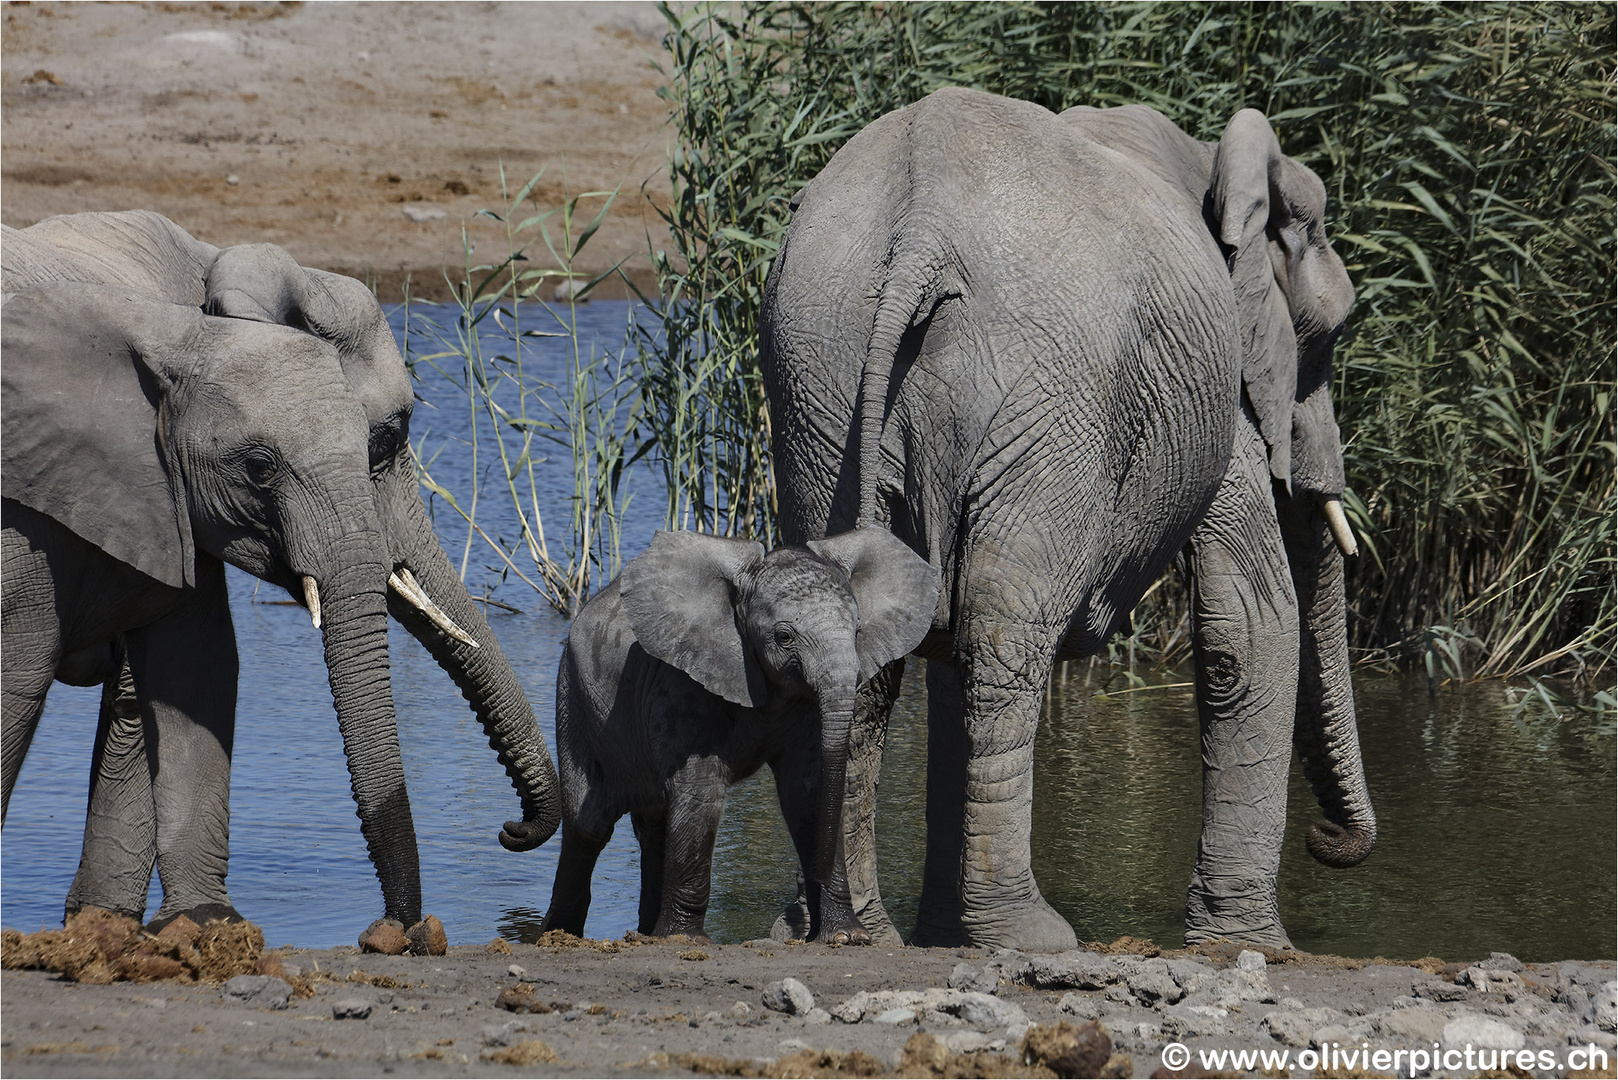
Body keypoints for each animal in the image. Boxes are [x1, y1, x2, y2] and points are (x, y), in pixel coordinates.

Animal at [3, 210, 563, 945]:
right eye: (388, 439)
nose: (512, 829)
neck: (201, 291)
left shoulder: (164, 494)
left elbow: (189, 672)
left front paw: (153, 927)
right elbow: (21, 674)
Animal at [540, 527, 938, 939]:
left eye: (858, 631)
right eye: (784, 637)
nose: (808, 879)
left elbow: (808, 791)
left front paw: (846, 938)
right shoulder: (682, 683)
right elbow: (701, 793)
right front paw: (684, 939)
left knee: (653, 822)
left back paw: (647, 933)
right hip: (573, 695)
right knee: (588, 824)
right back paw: (556, 935)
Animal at [763, 93, 1372, 952]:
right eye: (1332, 335)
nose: (1330, 840)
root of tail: (919, 231)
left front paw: (944, 934)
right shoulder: (1214, 393)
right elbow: (1249, 626)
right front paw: (1254, 947)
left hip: (820, 371)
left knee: (884, 642)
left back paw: (853, 933)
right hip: (1053, 390)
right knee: (1002, 636)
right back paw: (1028, 932)